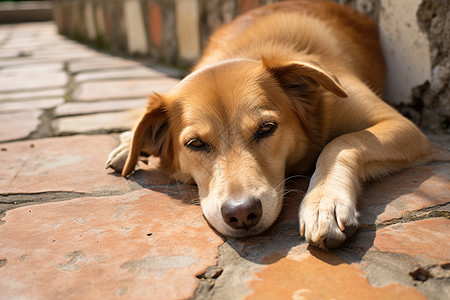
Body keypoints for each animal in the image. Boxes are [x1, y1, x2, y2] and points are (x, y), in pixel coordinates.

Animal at [104, 0, 428, 248]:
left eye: (266, 129)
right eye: (195, 144)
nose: (241, 214)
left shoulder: (399, 124)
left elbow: (342, 142)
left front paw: (324, 202)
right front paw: (129, 144)